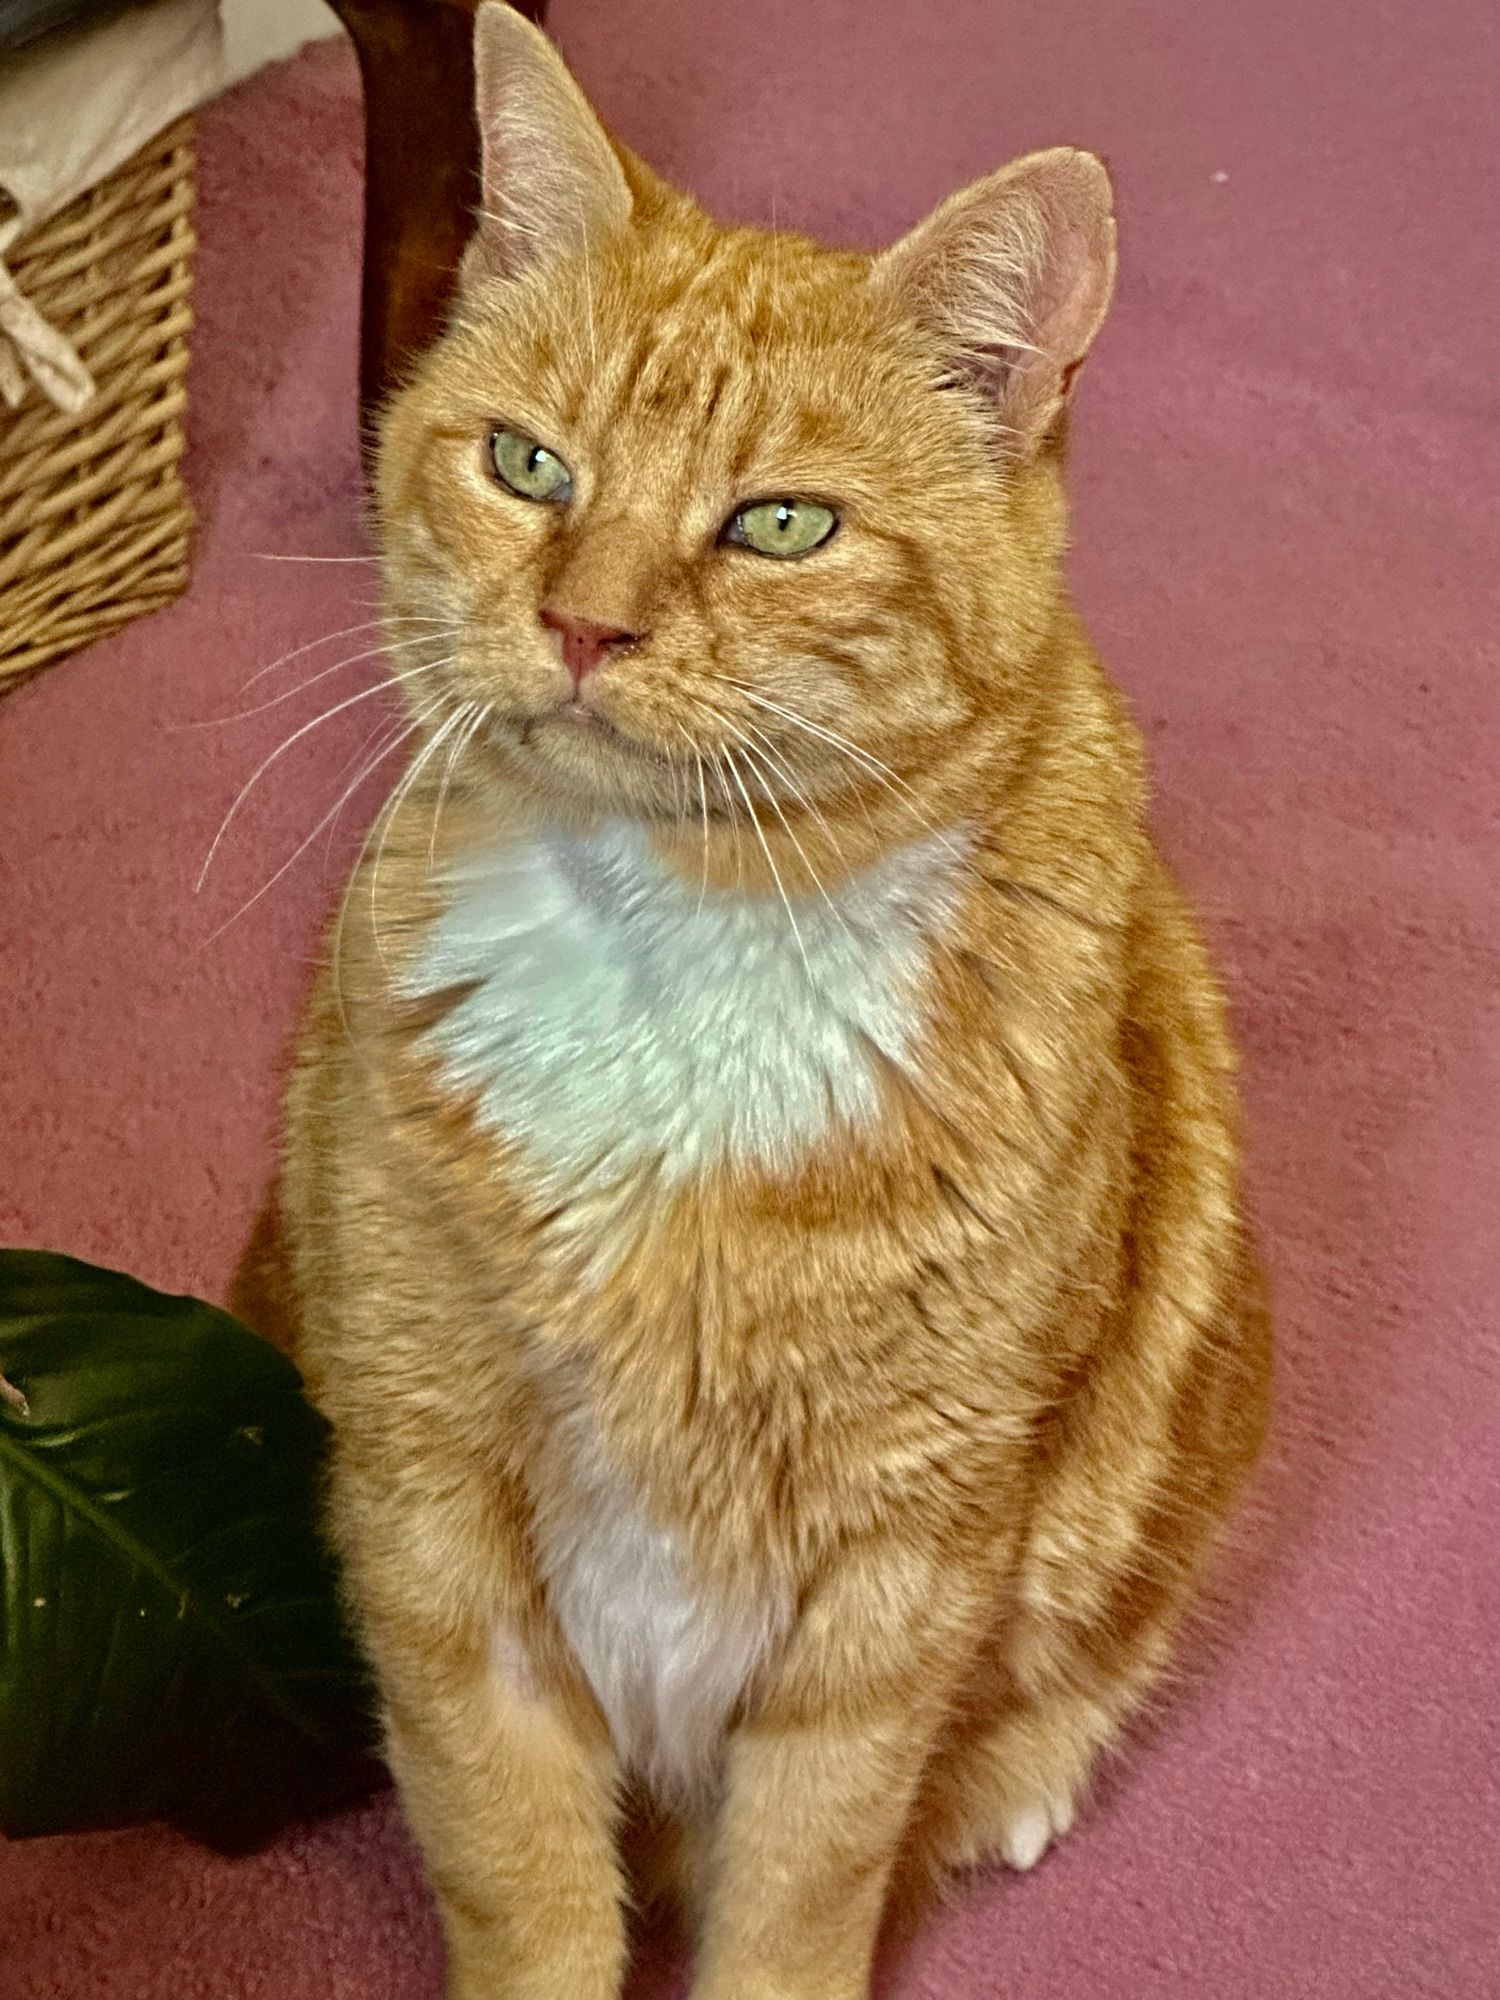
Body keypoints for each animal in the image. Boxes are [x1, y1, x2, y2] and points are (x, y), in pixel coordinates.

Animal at [276, 7, 1272, 1992]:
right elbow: (522, 1885)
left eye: (782, 525)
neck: (678, 950)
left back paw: (1020, 1783)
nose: (585, 624)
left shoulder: (902, 1569)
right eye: (529, 469)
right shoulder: (437, 1539)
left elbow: (806, 1882)